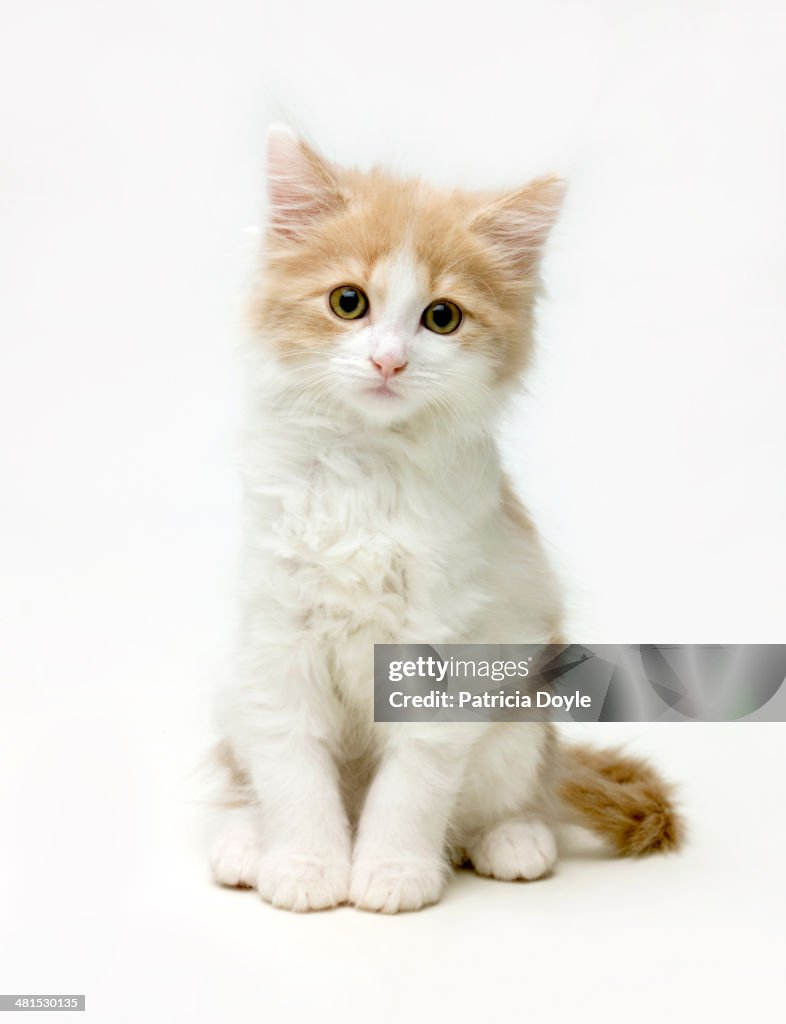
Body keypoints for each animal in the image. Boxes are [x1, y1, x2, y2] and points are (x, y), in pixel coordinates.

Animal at [208, 128, 679, 913]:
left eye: (442, 317)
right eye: (348, 302)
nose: (389, 362)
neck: (366, 471)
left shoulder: (444, 648)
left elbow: (415, 783)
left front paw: (391, 870)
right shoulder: (278, 644)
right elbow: (293, 770)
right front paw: (305, 866)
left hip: (523, 719)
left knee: (513, 798)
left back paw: (514, 841)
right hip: (234, 698)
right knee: (247, 779)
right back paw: (246, 841)